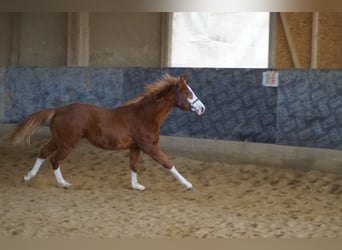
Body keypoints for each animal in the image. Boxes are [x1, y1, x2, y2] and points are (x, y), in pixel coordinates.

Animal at [8, 75, 206, 190]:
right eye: (187, 93)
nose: (202, 108)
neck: (144, 116)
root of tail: (59, 110)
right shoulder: (150, 147)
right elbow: (168, 164)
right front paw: (189, 185)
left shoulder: (136, 147)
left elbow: (133, 165)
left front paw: (136, 186)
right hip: (67, 142)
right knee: (55, 159)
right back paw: (63, 184)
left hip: (58, 139)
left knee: (43, 153)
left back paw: (28, 176)